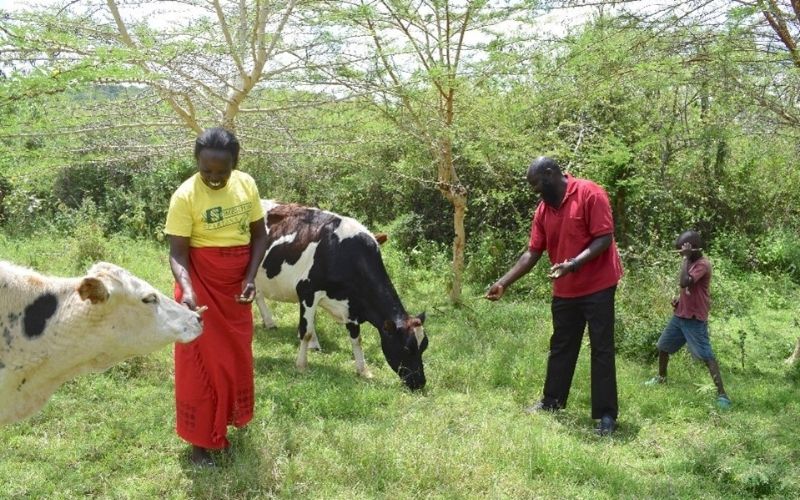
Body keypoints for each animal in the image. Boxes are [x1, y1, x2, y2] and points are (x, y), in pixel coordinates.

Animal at [256, 200, 432, 390]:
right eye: (407, 348)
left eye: (424, 346)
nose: (420, 382)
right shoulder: (308, 291)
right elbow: (306, 332)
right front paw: (301, 365)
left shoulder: (352, 305)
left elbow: (357, 338)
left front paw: (363, 371)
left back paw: (269, 322)